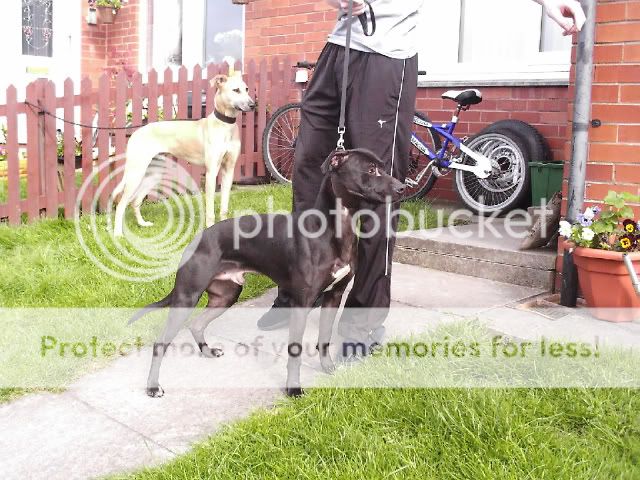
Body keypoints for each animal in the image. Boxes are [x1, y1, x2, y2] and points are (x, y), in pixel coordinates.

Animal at [112, 72, 255, 236]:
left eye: (247, 89)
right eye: (236, 90)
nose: (253, 105)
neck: (225, 125)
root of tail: (135, 132)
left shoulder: (228, 171)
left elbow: (224, 207)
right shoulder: (211, 173)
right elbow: (210, 209)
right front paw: (210, 228)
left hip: (153, 174)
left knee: (135, 201)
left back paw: (143, 224)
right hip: (136, 173)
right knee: (121, 204)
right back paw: (117, 234)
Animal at [130, 150, 404, 398]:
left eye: (384, 166)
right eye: (371, 170)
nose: (403, 187)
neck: (333, 231)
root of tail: (196, 240)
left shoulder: (334, 296)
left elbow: (325, 338)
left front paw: (328, 368)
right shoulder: (302, 302)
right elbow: (295, 350)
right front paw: (293, 388)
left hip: (226, 295)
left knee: (196, 324)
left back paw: (207, 352)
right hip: (187, 297)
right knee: (161, 343)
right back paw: (153, 386)